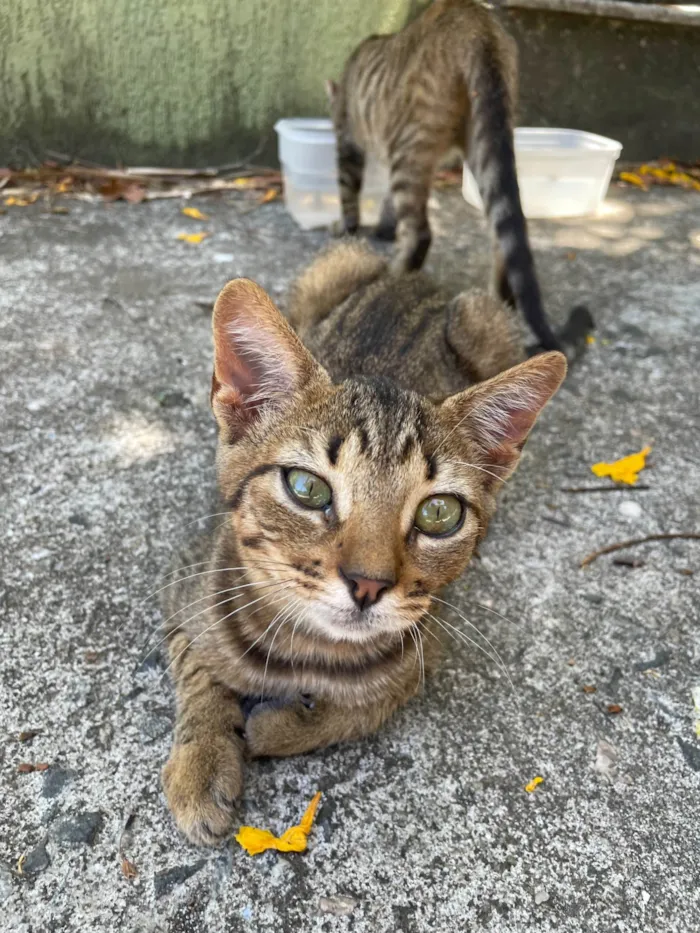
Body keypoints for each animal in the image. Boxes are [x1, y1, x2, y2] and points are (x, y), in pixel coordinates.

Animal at [161, 240, 568, 844]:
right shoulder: (184, 581)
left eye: (439, 513)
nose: (369, 584)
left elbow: (362, 706)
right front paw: (203, 757)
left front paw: (280, 726)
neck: (307, 650)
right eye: (306, 488)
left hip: (487, 317)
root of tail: (421, 279)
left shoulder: (423, 653)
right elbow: (199, 670)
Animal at [326, 0, 584, 354]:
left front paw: (347, 228)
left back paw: (393, 279)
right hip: (483, 142)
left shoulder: (349, 142)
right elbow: (386, 202)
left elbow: (348, 191)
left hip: (410, 146)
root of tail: (478, 25)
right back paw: (499, 303)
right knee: (502, 235)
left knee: (420, 233)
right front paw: (383, 228)